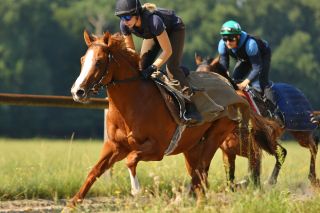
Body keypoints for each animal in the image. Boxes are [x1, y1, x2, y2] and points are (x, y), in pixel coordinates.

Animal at [65, 30, 276, 208]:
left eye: (99, 61)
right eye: (83, 60)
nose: (78, 91)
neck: (133, 103)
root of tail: (234, 89)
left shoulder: (157, 149)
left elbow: (131, 160)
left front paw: (136, 190)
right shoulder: (115, 146)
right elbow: (94, 171)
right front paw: (72, 203)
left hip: (216, 136)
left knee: (201, 171)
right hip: (191, 147)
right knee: (198, 175)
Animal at [195, 55, 320, 186]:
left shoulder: (255, 151)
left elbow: (253, 178)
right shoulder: (228, 153)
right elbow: (232, 181)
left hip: (300, 129)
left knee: (312, 145)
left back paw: (311, 177)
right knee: (285, 151)